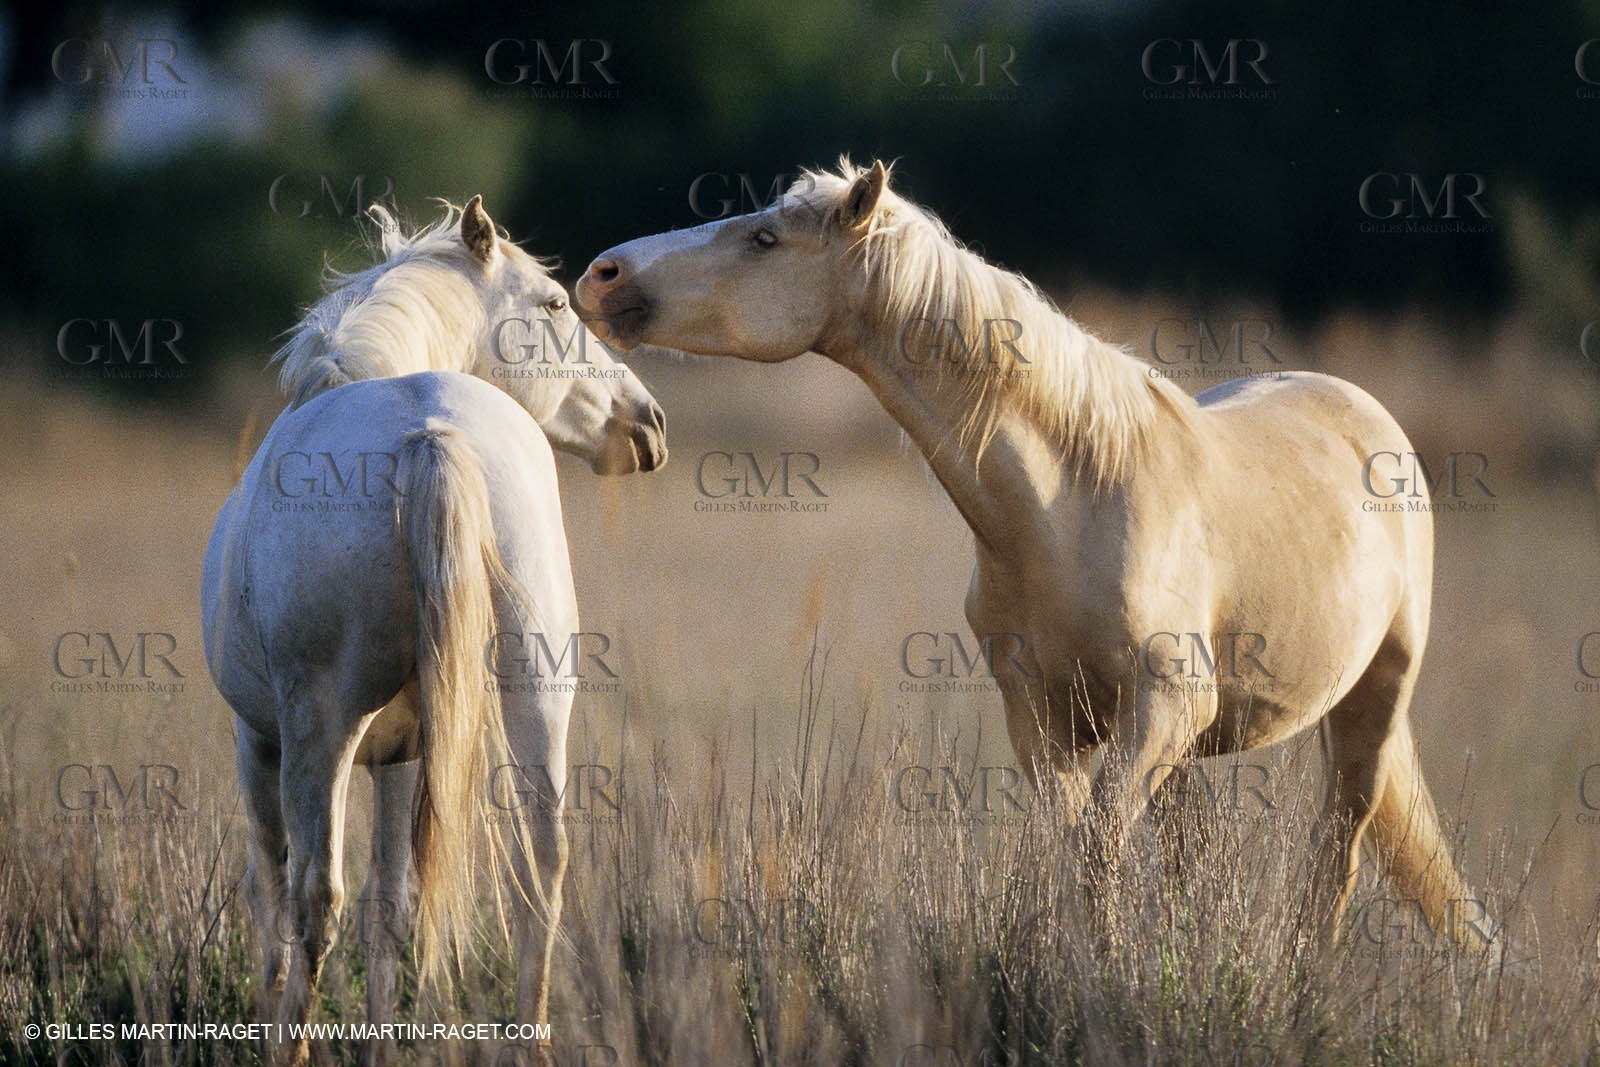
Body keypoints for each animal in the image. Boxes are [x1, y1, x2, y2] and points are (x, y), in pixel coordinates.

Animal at [203, 196, 667, 1066]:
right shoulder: (403, 750)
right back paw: (529, 1037)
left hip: (319, 731)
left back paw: (292, 1044)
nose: (648, 422)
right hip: (535, 699)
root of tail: (431, 432)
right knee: (539, 872)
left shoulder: (261, 739)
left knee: (314, 894)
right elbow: (392, 902)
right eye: (554, 304)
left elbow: (273, 888)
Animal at [573, 159, 1487, 950]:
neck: (1071, 508)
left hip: (1369, 703)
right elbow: (1069, 852)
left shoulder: (1158, 710)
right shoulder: (1043, 720)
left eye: (765, 238)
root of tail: (1361, 410)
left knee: (1337, 857)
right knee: (1199, 854)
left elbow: (1097, 855)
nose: (602, 274)